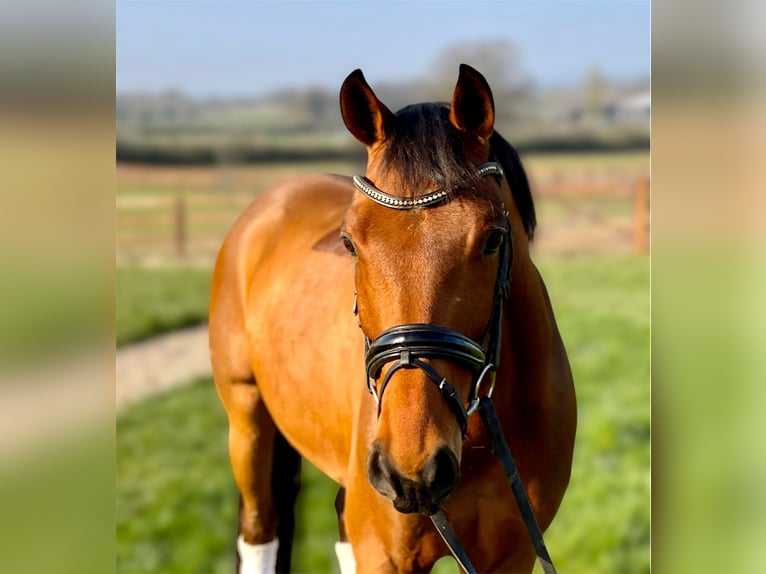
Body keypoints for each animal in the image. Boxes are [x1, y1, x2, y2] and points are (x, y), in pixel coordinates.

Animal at [210, 65, 576, 572]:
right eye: (349, 243)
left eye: (492, 239)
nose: (412, 468)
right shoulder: (386, 554)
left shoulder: (513, 556)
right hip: (246, 421)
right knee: (260, 530)